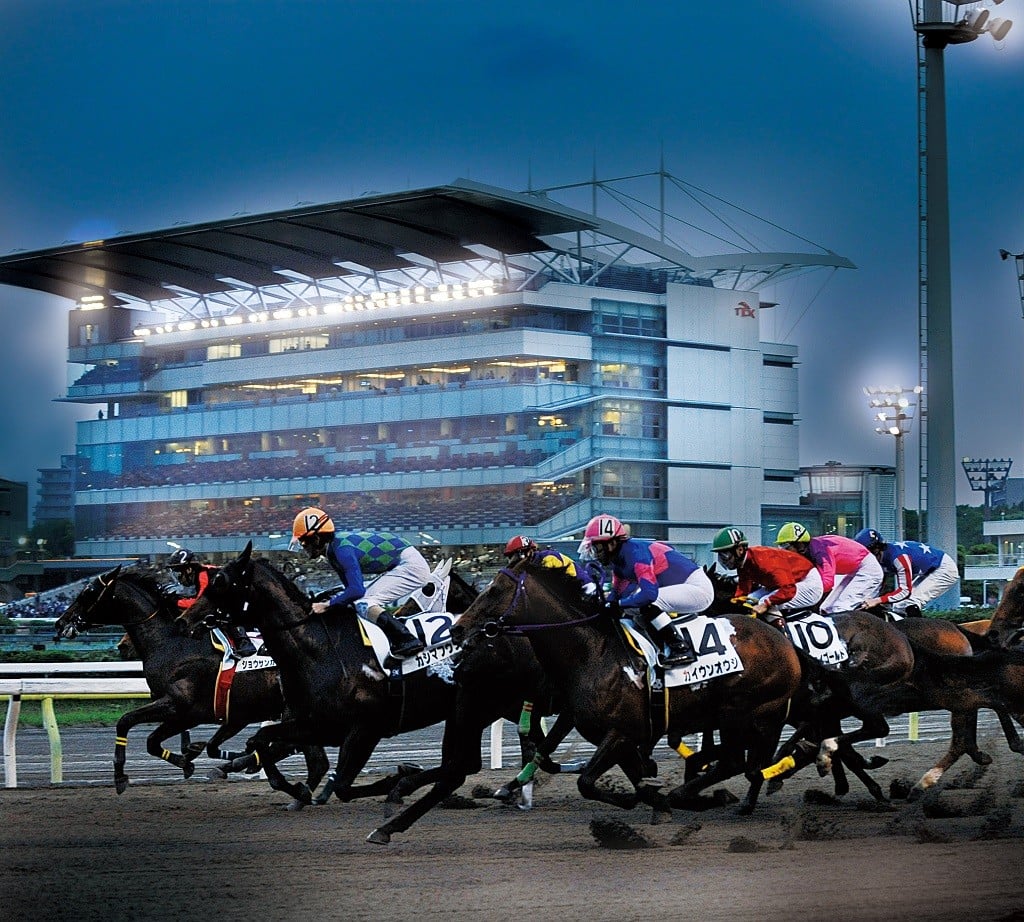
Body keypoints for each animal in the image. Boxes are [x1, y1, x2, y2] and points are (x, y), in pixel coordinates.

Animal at [55, 561, 327, 799]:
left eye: (88, 592)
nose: (61, 622)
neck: (171, 642)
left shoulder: (181, 706)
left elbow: (125, 722)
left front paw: (120, 777)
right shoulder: (189, 713)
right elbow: (154, 742)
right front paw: (188, 759)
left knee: (306, 755)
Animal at [448, 553, 806, 819]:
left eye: (494, 590)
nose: (457, 629)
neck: (592, 652)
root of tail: (782, 640)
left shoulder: (622, 731)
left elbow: (586, 781)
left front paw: (648, 796)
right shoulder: (606, 730)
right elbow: (622, 773)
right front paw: (653, 797)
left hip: (740, 712)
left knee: (736, 761)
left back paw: (694, 793)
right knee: (745, 762)